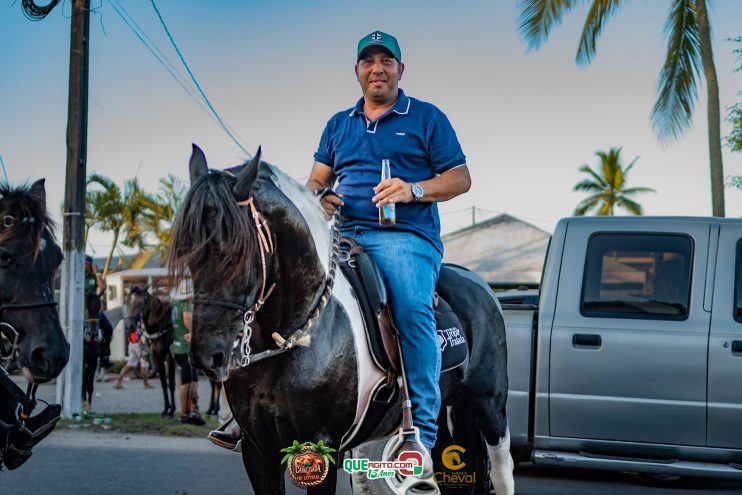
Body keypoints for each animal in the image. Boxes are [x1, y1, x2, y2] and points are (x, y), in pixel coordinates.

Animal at [127, 286, 177, 418]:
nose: (129, 325)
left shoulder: (170, 356)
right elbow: (164, 383)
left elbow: (171, 383)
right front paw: (166, 409)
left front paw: (172, 410)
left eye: (140, 303)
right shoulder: (157, 355)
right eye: (127, 302)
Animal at [171, 147, 516, 495]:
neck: (296, 336)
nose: (207, 356)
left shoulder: (320, 446)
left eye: (235, 252)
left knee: (503, 471)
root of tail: (481, 285)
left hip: (490, 405)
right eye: (187, 250)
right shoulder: (258, 451)